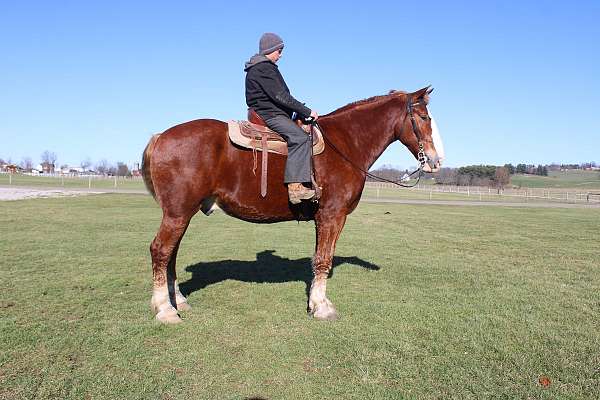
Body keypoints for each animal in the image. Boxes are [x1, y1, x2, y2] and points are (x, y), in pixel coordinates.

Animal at [141, 86, 440, 324]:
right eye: (424, 117)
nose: (435, 161)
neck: (344, 143)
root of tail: (160, 136)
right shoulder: (333, 215)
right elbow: (324, 259)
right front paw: (322, 308)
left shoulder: (324, 218)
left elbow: (318, 259)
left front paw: (316, 302)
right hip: (178, 214)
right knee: (161, 251)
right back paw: (166, 309)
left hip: (180, 214)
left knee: (171, 254)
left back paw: (178, 301)